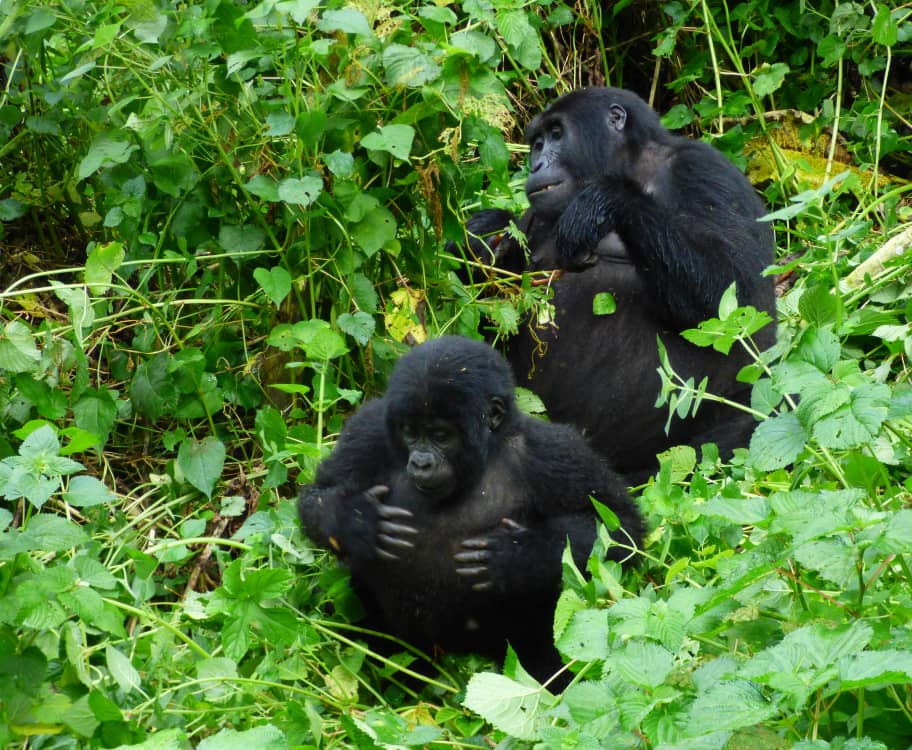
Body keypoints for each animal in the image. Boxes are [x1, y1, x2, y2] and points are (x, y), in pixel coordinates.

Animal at [300, 338, 640, 680]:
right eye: (409, 432)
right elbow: (317, 497)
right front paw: (357, 520)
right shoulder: (367, 431)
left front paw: (519, 553)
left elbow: (619, 529)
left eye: (441, 436)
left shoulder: (553, 451)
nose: (421, 463)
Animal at [464, 88, 776, 484]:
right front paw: (481, 236)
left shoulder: (704, 169)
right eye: (536, 144)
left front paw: (608, 199)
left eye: (556, 134)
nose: (535, 165)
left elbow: (737, 298)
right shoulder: (533, 217)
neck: (633, 164)